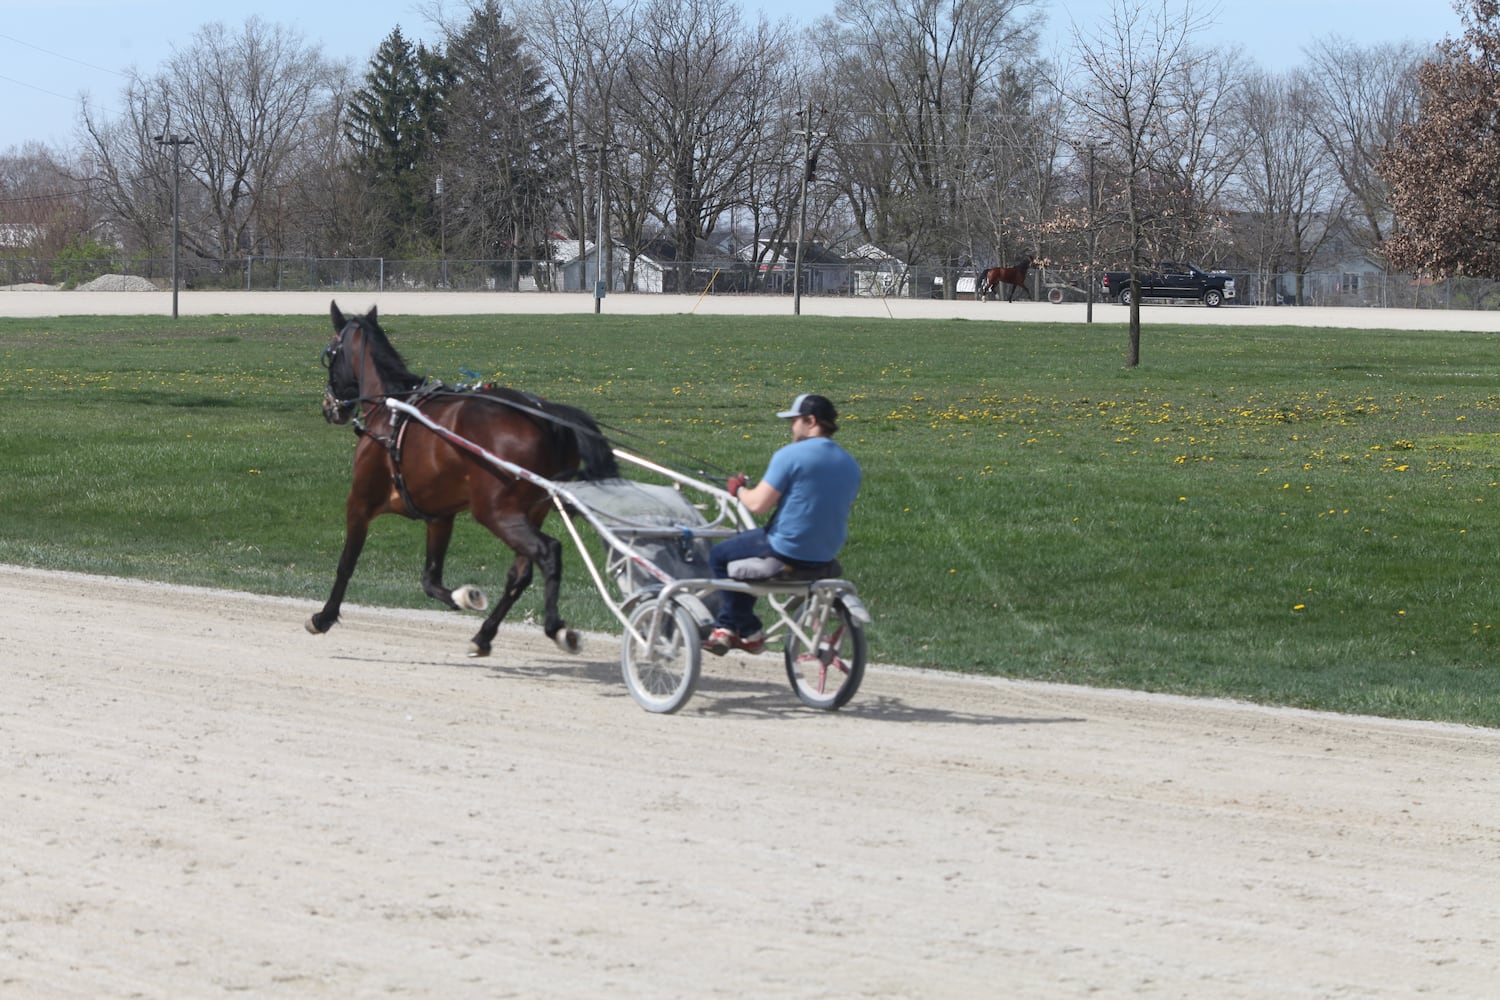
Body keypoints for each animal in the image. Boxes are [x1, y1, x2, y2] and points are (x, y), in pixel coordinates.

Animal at [307, 302, 618, 665]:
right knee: (520, 574)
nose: (329, 407)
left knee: (548, 551)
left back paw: (555, 627)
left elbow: (346, 563)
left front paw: (323, 617)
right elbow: (430, 580)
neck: (392, 410)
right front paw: (466, 596)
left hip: (495, 511)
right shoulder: (439, 516)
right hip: (529, 511)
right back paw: (484, 635)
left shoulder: (360, 501)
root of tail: (544, 413)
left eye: (330, 354)